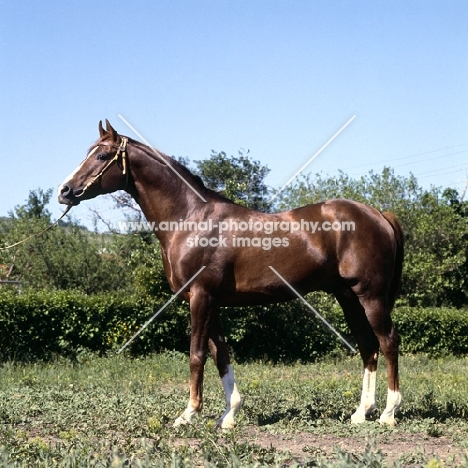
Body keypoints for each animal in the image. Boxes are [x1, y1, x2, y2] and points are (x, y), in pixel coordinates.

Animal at [57, 119, 402, 428]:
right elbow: (220, 354)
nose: (65, 191)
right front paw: (229, 415)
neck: (190, 219)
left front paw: (187, 415)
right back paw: (361, 413)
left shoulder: (201, 297)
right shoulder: (211, 303)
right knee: (367, 345)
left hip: (370, 296)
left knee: (388, 341)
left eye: (102, 156)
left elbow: (197, 354)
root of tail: (378, 214)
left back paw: (388, 413)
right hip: (347, 297)